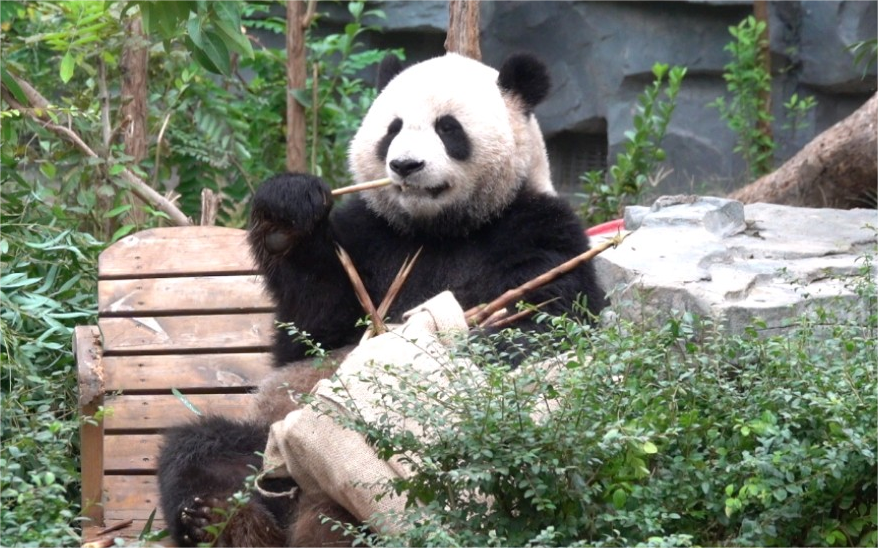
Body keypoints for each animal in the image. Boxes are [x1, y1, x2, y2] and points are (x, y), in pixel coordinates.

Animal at [156, 52, 604, 548]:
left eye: (448, 128)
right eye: (393, 128)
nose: (405, 165)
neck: (439, 230)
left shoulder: (542, 229)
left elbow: (542, 325)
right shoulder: (368, 234)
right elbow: (314, 327)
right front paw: (286, 218)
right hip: (262, 439)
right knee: (203, 449)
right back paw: (225, 522)